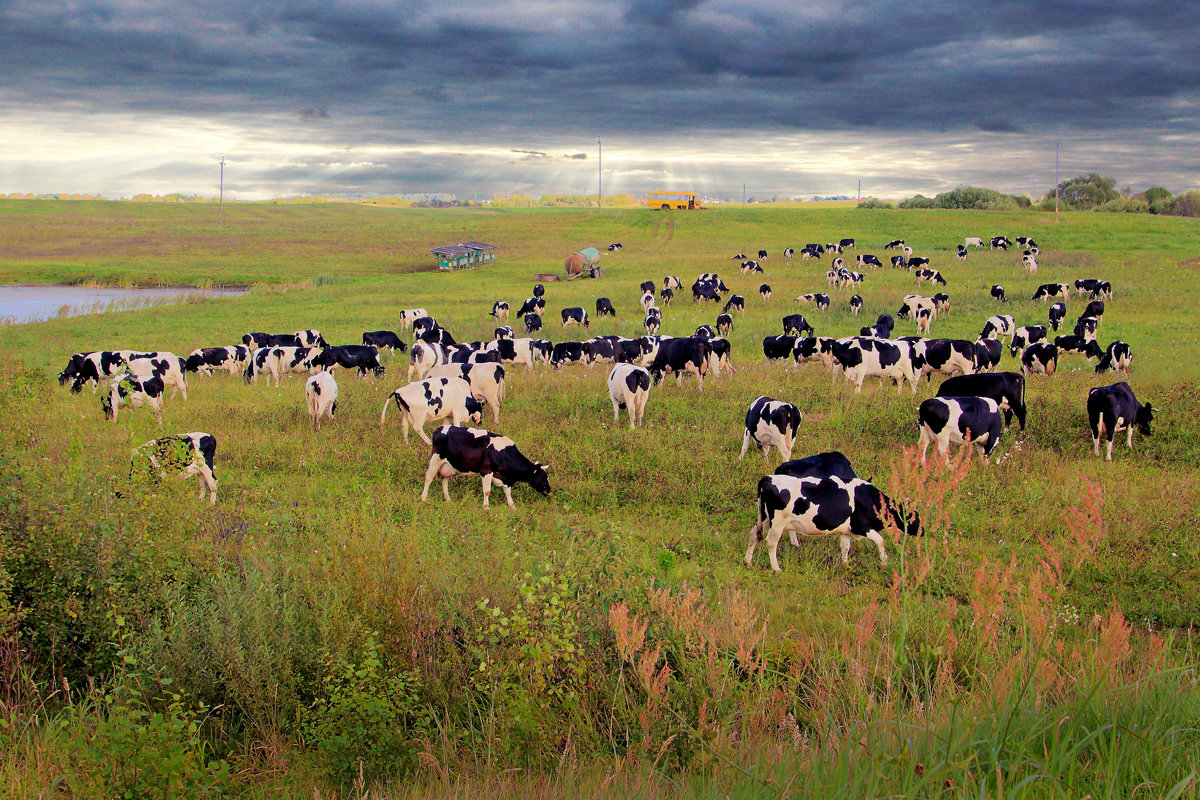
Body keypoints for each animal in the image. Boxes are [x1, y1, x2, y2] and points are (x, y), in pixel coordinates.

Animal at [420, 422, 549, 510]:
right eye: (542, 477)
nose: (549, 489)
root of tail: (440, 428)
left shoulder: (505, 478)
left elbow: (508, 492)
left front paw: (512, 506)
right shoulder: (486, 471)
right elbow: (487, 491)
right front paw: (486, 507)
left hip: (449, 466)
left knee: (444, 481)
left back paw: (448, 499)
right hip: (436, 459)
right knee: (428, 477)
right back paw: (423, 498)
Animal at [744, 472, 921, 573]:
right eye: (913, 516)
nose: (922, 531)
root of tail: (768, 478)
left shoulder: (846, 530)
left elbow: (845, 547)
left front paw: (846, 566)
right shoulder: (861, 526)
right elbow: (881, 541)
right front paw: (884, 563)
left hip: (765, 518)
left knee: (754, 535)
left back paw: (748, 562)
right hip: (777, 523)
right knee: (771, 542)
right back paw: (776, 568)